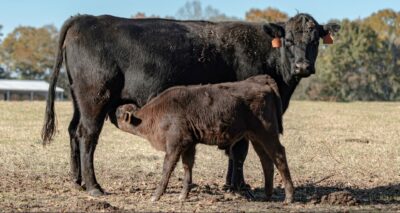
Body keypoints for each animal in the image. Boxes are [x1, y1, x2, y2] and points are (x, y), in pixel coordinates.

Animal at [115, 75, 294, 203]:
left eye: (119, 114)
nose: (113, 114)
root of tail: (261, 81)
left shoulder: (175, 145)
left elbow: (167, 168)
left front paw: (155, 196)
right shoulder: (189, 145)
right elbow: (187, 167)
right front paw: (183, 196)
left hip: (267, 133)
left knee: (279, 156)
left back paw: (289, 197)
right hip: (255, 137)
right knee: (266, 161)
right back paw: (267, 196)